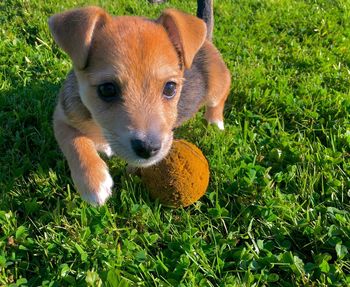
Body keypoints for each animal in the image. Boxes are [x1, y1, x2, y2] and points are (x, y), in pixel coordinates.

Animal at [48, 0, 230, 207]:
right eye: (107, 89)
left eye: (170, 88)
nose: (148, 149)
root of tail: (206, 38)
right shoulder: (62, 116)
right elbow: (75, 142)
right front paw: (94, 182)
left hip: (216, 85)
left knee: (222, 94)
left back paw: (215, 122)